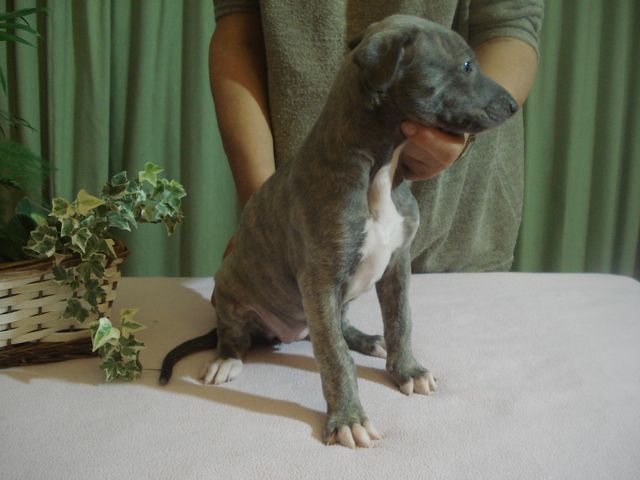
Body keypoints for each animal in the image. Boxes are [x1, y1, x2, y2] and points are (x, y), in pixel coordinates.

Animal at [159, 14, 517, 448]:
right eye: (466, 65)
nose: (514, 105)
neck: (380, 170)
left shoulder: (397, 264)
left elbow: (401, 321)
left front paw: (407, 370)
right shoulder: (320, 280)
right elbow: (334, 357)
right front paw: (348, 418)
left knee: (339, 327)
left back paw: (366, 339)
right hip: (229, 288)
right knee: (238, 333)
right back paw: (226, 359)